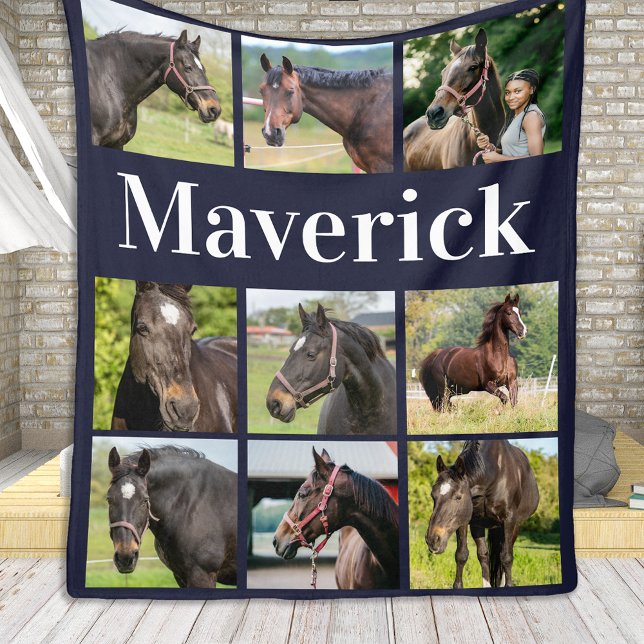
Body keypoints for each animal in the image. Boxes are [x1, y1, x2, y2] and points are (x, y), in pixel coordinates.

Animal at [425, 440, 539, 588]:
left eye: (458, 497)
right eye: (433, 496)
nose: (432, 539)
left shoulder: (509, 520)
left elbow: (507, 557)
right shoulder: (468, 520)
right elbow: (463, 555)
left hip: (515, 525)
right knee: (485, 555)